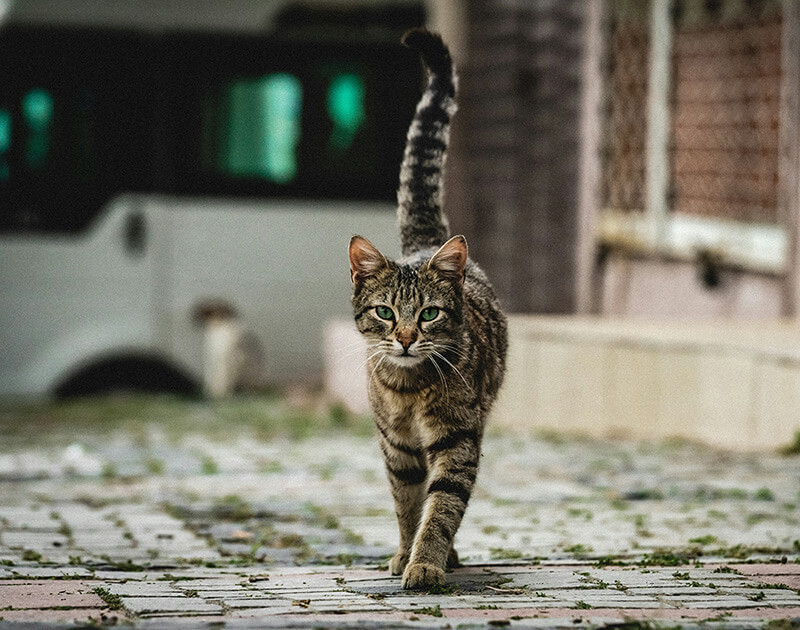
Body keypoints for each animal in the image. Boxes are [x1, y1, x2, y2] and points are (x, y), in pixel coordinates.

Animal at [348, 28, 506, 592]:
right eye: (385, 312)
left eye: (430, 314)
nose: (406, 337)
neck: (409, 389)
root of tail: (425, 244)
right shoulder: (396, 448)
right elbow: (406, 504)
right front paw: (404, 552)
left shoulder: (458, 439)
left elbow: (443, 506)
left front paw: (426, 562)